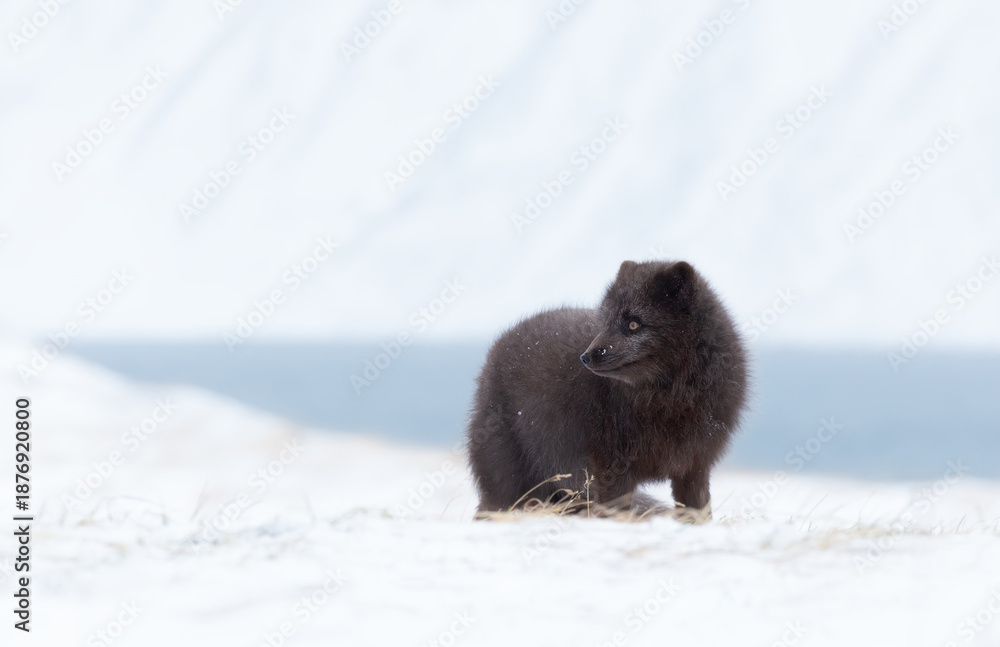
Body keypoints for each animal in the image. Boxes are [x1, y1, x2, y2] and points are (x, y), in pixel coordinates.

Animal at [466, 260, 748, 522]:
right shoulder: (611, 468)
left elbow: (698, 512)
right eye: (605, 322)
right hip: (509, 479)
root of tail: (500, 344)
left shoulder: (694, 466)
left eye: (633, 324)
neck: (668, 399)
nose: (585, 357)